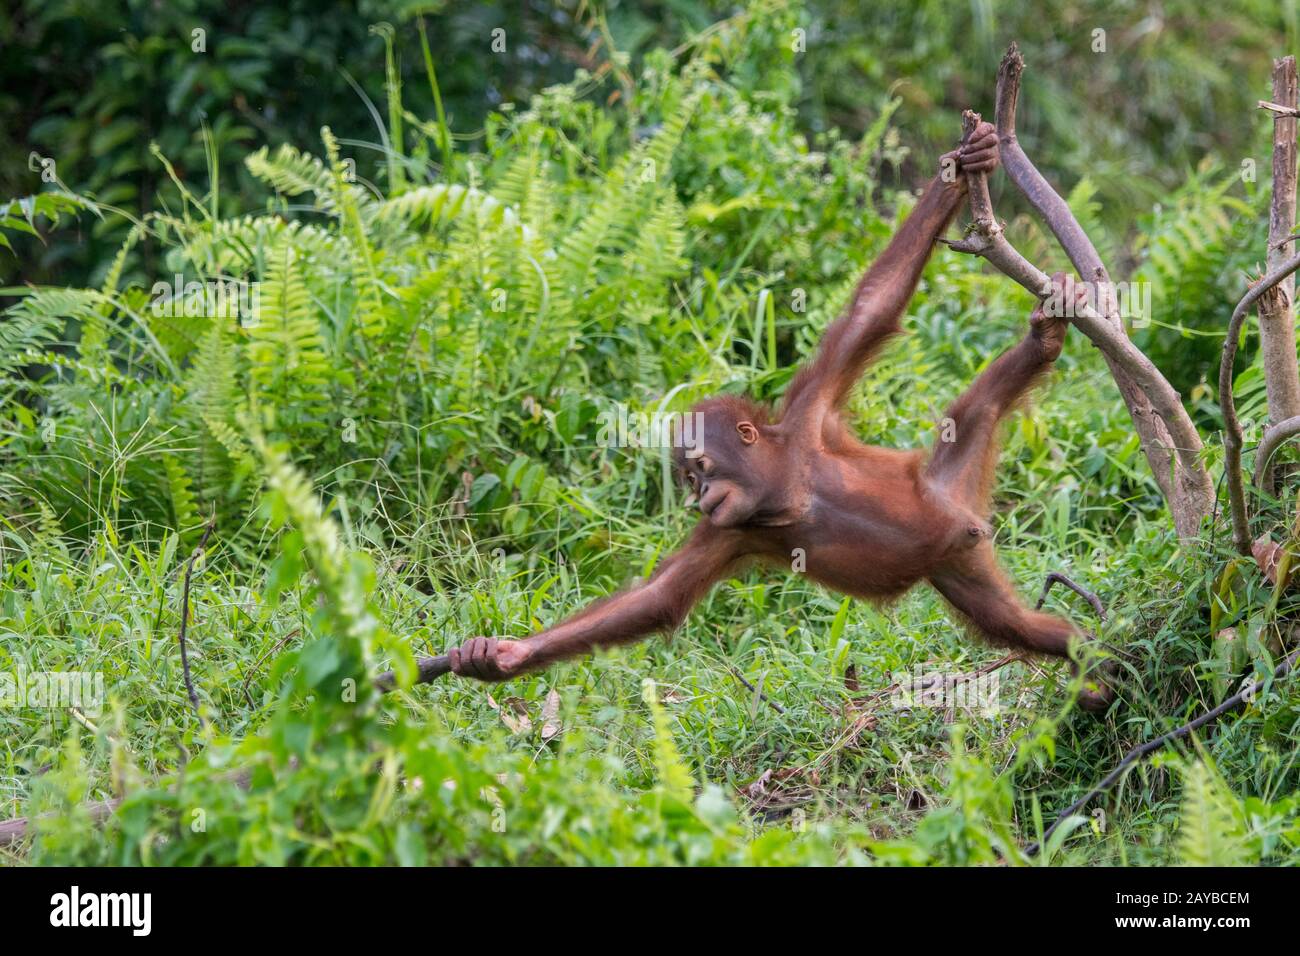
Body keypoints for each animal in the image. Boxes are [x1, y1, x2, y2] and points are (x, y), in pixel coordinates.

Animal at [445, 120, 1114, 713]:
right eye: (688, 480)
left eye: (700, 468)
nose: (699, 495)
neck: (786, 483)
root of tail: (963, 517)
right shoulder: (729, 530)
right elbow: (657, 599)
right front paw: (499, 656)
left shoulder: (807, 414)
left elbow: (873, 309)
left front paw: (963, 161)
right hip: (959, 567)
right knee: (1016, 624)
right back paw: (1094, 670)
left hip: (950, 482)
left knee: (978, 406)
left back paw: (1042, 341)